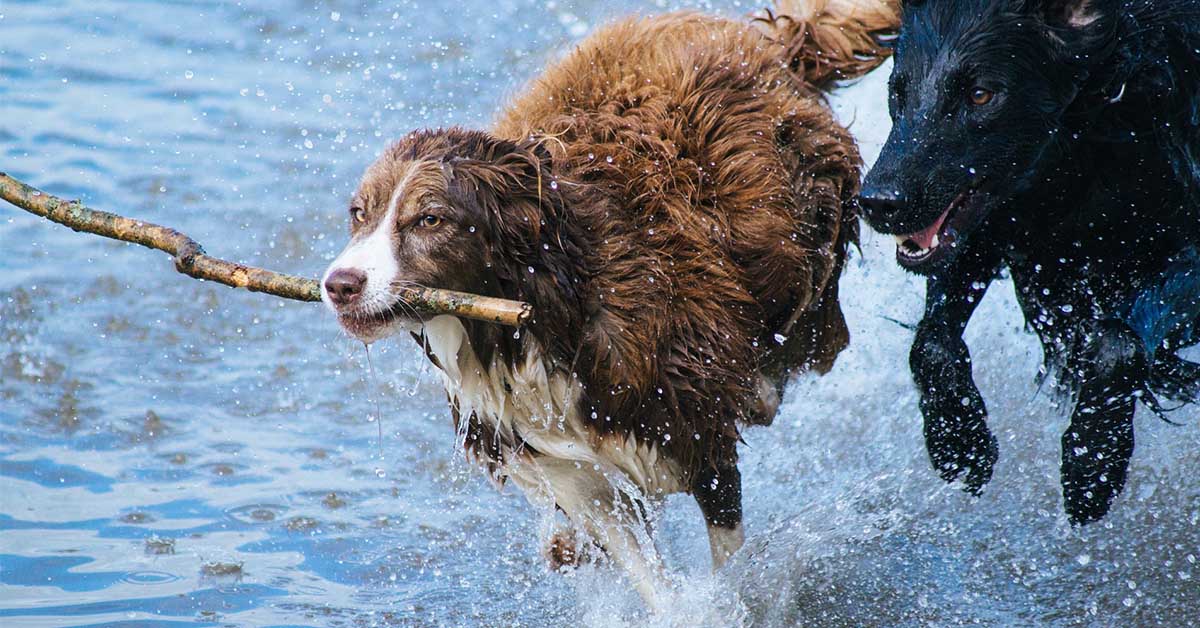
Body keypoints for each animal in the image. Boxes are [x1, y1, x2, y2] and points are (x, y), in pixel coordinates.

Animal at [324, 0, 897, 609]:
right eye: (359, 213)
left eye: (429, 219)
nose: (339, 283)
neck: (536, 315)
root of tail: (770, 43)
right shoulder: (569, 468)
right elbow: (640, 564)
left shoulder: (698, 431)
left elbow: (728, 555)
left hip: (804, 241)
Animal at [859, 0, 1200, 523]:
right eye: (899, 90)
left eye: (981, 95)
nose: (877, 202)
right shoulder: (993, 226)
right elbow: (931, 344)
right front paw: (960, 443)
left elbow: (1118, 343)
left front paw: (1092, 464)